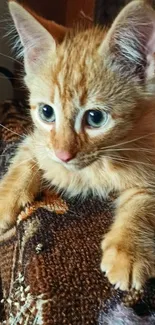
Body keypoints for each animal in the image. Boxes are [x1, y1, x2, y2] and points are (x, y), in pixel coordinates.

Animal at [0, 0, 155, 288]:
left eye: (95, 118)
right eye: (46, 112)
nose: (63, 155)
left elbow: (144, 200)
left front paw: (128, 249)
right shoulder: (39, 142)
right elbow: (23, 161)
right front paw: (4, 200)